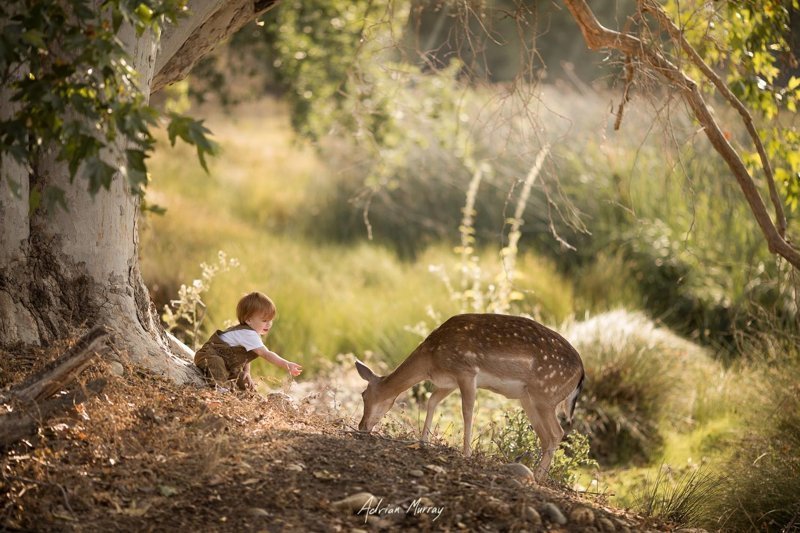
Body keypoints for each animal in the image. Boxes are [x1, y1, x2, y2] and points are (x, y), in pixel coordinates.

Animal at [354, 310, 580, 480]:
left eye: (363, 395)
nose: (361, 426)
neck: (431, 360)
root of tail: (581, 374)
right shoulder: (449, 382)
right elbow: (432, 401)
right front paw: (422, 442)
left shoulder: (466, 371)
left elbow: (467, 411)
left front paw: (466, 454)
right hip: (528, 399)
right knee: (546, 436)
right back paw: (535, 474)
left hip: (545, 395)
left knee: (557, 432)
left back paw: (538, 478)